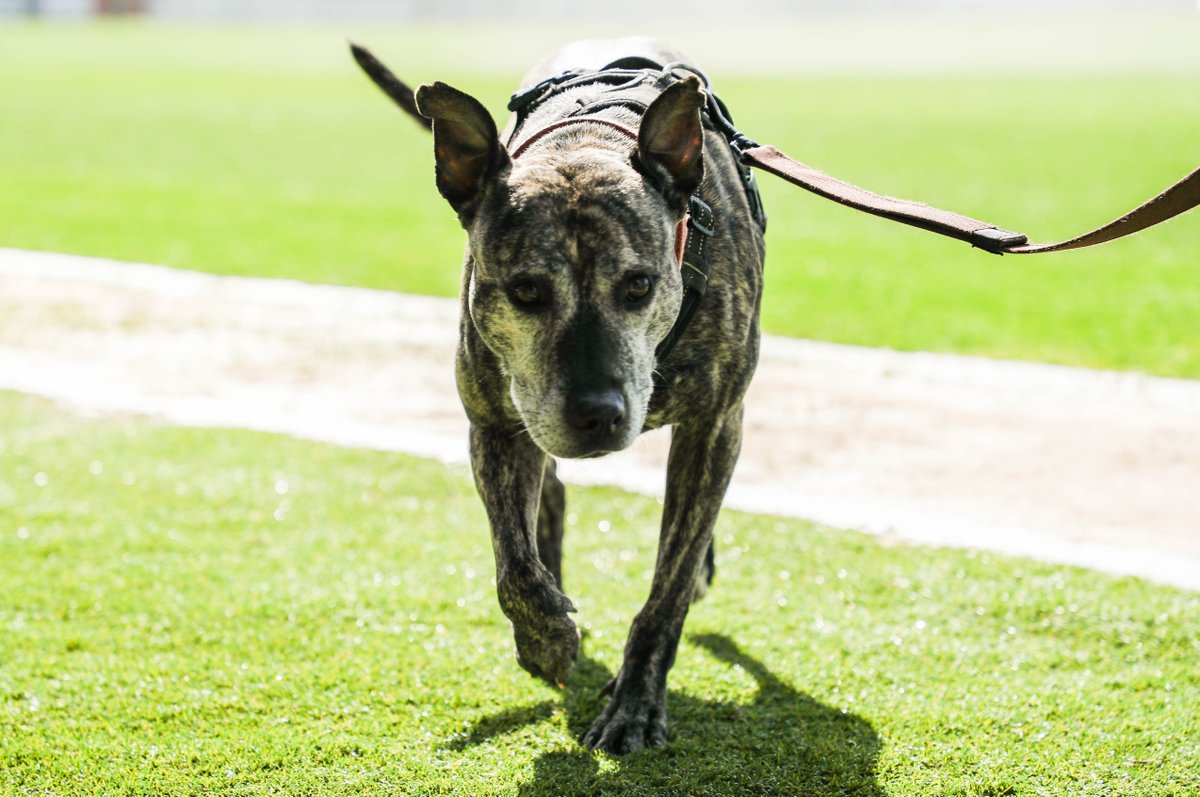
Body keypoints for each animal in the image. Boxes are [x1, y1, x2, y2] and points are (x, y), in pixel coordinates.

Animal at [350, 37, 763, 753]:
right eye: (526, 291)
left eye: (638, 285)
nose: (597, 414)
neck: (589, 140)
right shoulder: (494, 422)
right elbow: (515, 565)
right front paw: (545, 638)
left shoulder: (716, 421)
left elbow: (667, 589)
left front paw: (634, 703)